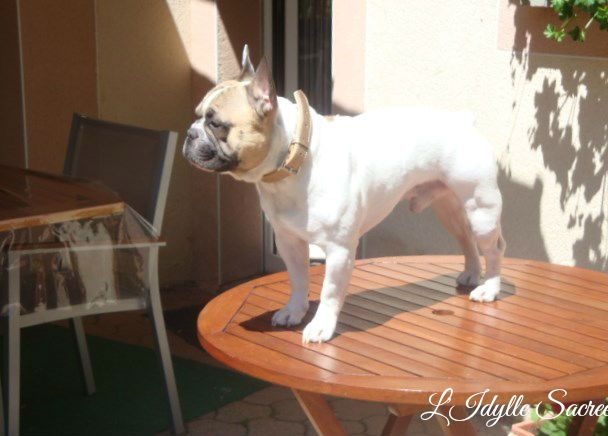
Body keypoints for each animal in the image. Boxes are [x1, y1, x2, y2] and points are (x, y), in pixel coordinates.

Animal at [183, 46, 506, 342]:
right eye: (197, 115)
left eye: (215, 123)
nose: (189, 133)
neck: (294, 158)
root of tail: (463, 120)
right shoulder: (289, 242)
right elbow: (298, 280)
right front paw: (294, 310)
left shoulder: (338, 250)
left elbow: (329, 291)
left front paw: (321, 326)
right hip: (449, 208)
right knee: (465, 239)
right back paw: (471, 274)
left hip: (482, 210)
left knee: (493, 248)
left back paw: (489, 288)